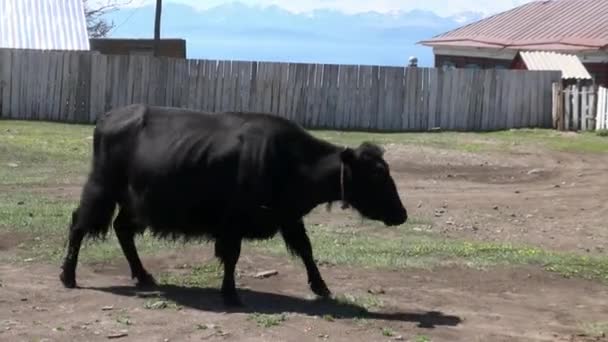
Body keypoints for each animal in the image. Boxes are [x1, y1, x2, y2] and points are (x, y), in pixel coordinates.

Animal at [60, 103, 408, 304]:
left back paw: (143, 276)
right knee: (79, 224)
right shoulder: (234, 221)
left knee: (121, 230)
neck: (291, 159)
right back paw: (68, 277)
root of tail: (109, 116)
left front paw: (321, 288)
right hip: (101, 189)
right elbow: (232, 256)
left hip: (134, 204)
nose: (402, 214)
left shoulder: (288, 217)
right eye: (377, 175)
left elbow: (306, 250)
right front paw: (230, 293)